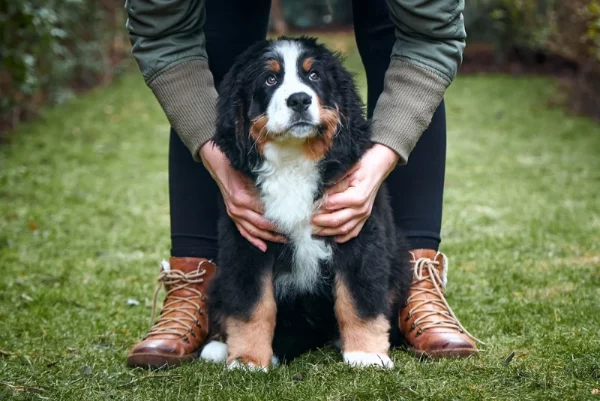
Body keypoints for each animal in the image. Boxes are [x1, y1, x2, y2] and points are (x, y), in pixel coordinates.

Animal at [199, 37, 410, 368]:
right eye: (270, 79)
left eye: (313, 76)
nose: (299, 100)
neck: (293, 160)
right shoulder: (246, 240)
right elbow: (251, 304)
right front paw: (248, 359)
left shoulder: (357, 231)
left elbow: (358, 299)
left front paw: (365, 355)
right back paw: (220, 346)